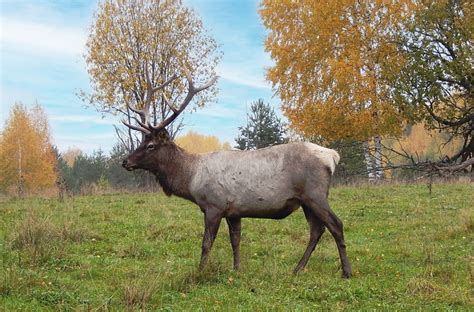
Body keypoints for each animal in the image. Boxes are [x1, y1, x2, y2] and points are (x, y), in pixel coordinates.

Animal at [122, 68, 352, 278]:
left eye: (150, 145)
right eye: (142, 142)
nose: (125, 161)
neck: (191, 179)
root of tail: (332, 156)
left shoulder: (214, 205)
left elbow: (206, 243)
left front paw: (200, 272)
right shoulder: (234, 211)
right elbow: (235, 240)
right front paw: (237, 269)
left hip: (315, 193)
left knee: (336, 224)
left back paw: (346, 272)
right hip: (305, 200)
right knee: (316, 229)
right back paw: (298, 269)